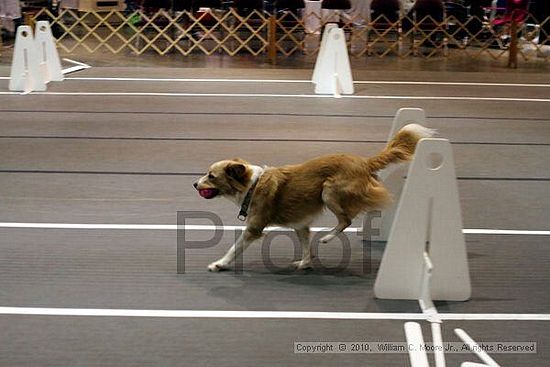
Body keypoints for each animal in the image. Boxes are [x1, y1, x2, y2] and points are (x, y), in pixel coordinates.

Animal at [194, 125, 436, 272]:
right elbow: (305, 245)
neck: (252, 185)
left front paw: (219, 264)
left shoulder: (254, 228)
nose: (194, 184)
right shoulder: (300, 225)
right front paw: (305, 263)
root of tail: (364, 162)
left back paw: (328, 237)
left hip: (328, 192)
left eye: (211, 176)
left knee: (346, 219)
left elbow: (233, 249)